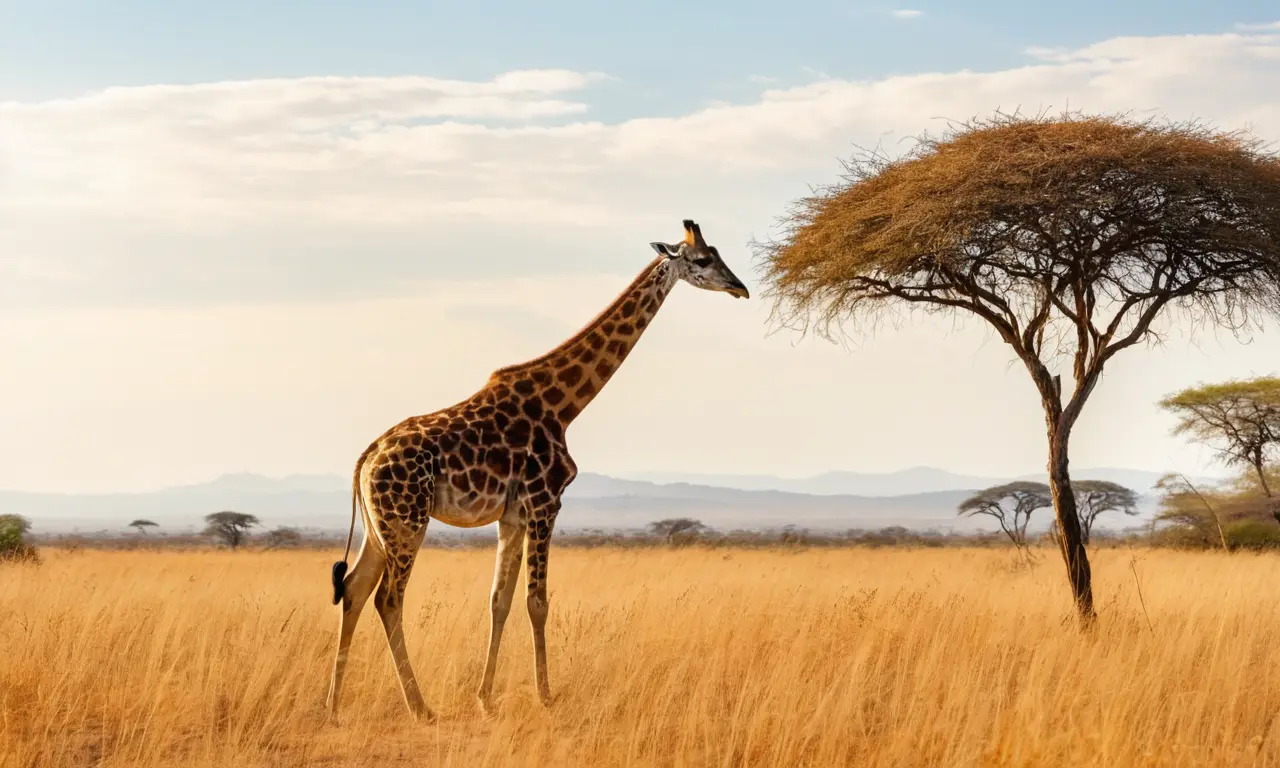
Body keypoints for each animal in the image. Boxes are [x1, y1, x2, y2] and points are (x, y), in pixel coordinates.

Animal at [325, 219, 749, 720]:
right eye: (702, 259)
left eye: (717, 253)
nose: (740, 288)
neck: (564, 406)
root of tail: (367, 457)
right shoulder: (546, 501)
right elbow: (537, 602)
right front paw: (546, 695)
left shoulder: (512, 515)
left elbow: (499, 601)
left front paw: (486, 698)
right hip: (409, 520)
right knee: (388, 598)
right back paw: (420, 707)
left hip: (382, 526)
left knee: (353, 588)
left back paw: (333, 705)